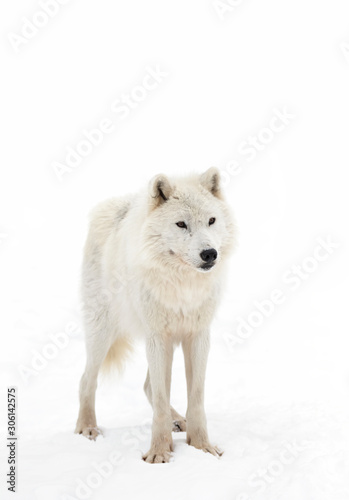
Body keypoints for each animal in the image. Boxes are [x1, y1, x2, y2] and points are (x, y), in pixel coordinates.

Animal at [75, 169, 235, 464]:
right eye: (181, 224)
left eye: (211, 221)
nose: (209, 254)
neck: (183, 286)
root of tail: (113, 204)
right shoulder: (158, 337)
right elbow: (160, 400)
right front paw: (159, 452)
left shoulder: (198, 335)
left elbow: (196, 397)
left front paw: (202, 447)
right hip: (102, 333)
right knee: (86, 380)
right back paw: (87, 428)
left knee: (148, 386)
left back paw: (178, 420)